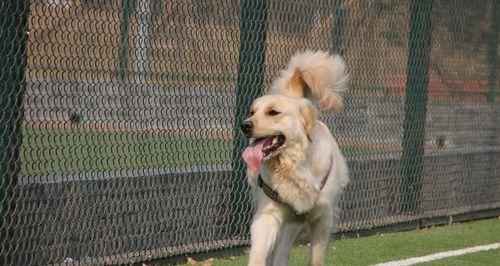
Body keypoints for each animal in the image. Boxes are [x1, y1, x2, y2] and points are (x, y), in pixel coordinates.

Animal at [240, 50, 350, 266]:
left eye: (273, 112)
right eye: (252, 112)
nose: (244, 125)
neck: (292, 166)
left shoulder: (323, 219)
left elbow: (315, 259)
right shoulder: (267, 215)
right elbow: (258, 253)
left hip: (294, 225)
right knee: (279, 254)